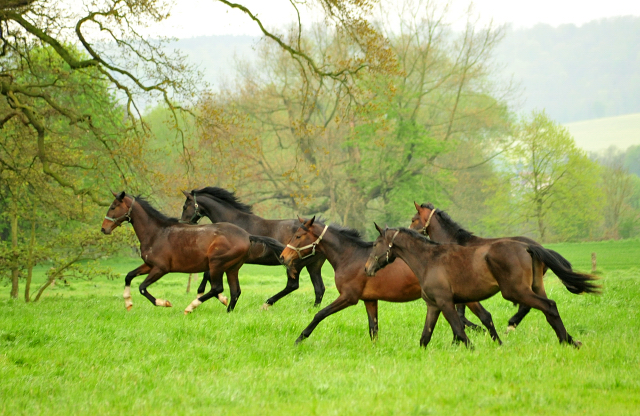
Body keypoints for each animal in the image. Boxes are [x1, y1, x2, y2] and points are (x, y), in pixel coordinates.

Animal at [100, 192, 284, 312]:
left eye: (113, 207)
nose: (104, 229)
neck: (156, 233)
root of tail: (247, 235)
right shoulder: (148, 265)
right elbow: (129, 276)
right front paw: (128, 303)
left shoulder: (160, 268)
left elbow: (143, 288)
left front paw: (164, 303)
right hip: (232, 268)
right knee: (235, 291)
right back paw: (228, 311)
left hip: (217, 264)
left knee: (217, 288)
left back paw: (191, 307)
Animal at [180, 187, 328, 308]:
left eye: (185, 206)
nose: (183, 223)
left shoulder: (222, 258)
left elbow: (208, 274)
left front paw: (203, 295)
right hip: (313, 265)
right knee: (319, 288)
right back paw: (313, 309)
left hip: (296, 263)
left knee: (293, 285)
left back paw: (267, 303)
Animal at [278, 216, 502, 346]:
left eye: (298, 235)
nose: (283, 256)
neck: (349, 256)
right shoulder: (369, 300)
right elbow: (373, 328)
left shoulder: (349, 297)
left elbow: (320, 314)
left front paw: (299, 339)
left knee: (484, 316)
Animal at [364, 224, 600, 348]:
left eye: (375, 244)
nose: (367, 268)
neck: (429, 260)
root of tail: (527, 247)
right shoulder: (433, 305)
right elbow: (425, 336)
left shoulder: (445, 302)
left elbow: (459, 329)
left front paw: (473, 349)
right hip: (534, 287)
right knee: (549, 309)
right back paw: (570, 340)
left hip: (515, 291)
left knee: (548, 306)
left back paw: (565, 341)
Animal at [410, 202, 576, 332]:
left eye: (413, 219)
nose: (409, 230)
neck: (453, 241)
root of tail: (537, 247)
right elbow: (461, 314)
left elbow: (461, 315)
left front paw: (480, 329)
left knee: (529, 305)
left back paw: (511, 325)